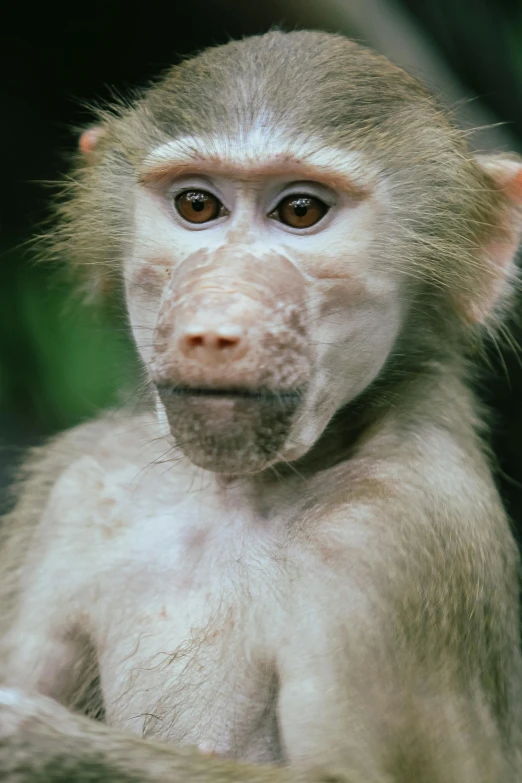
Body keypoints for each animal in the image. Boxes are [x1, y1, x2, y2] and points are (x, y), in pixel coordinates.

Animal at [1, 26, 520, 783]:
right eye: (197, 206)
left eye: (301, 211)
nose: (214, 327)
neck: (236, 495)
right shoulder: (77, 480)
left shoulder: (400, 533)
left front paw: (26, 738)